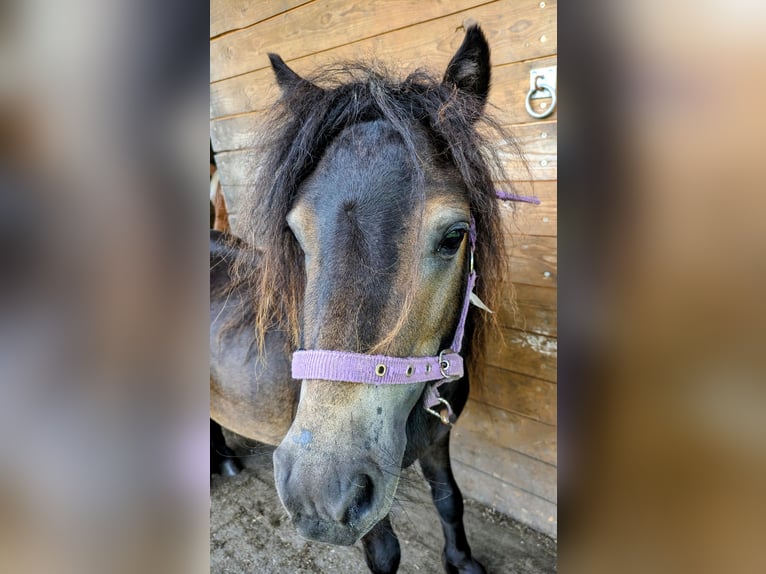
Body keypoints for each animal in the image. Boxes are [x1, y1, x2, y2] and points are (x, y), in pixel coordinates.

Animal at [208, 24, 516, 572]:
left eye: (455, 235)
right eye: (296, 236)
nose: (317, 490)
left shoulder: (439, 440)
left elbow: (450, 500)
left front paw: (462, 561)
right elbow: (386, 552)